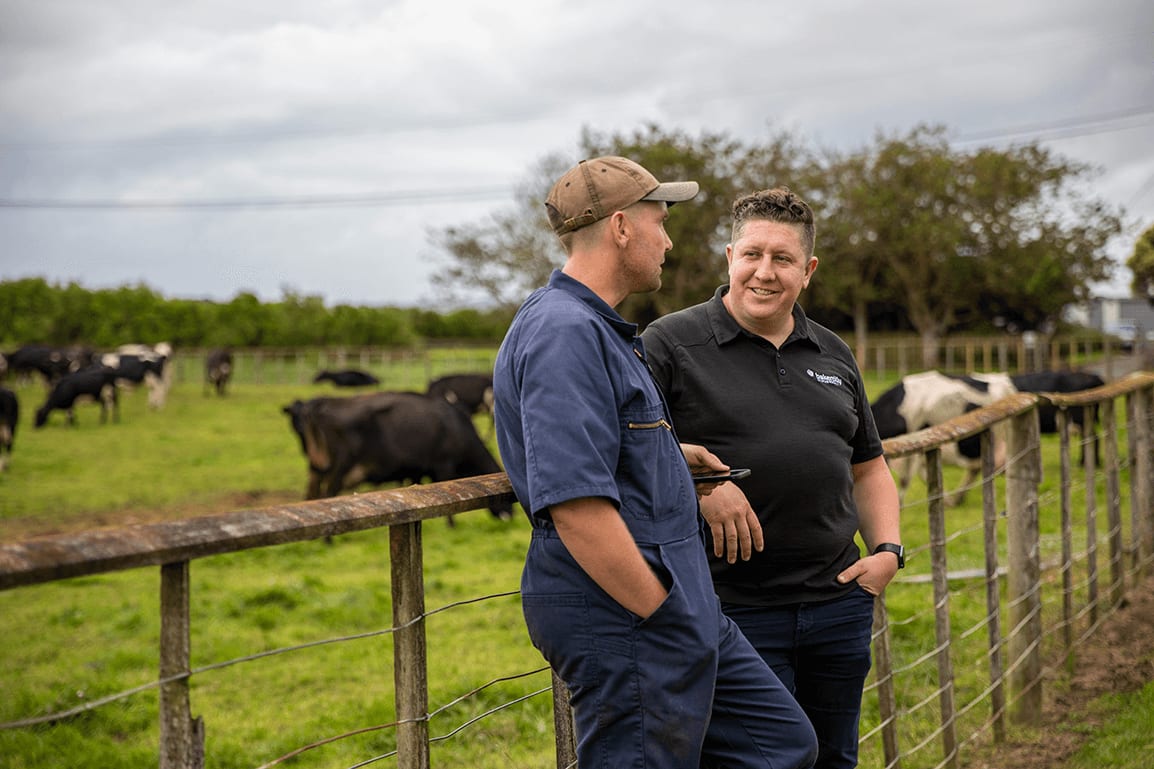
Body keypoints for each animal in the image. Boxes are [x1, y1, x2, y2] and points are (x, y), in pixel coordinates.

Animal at [281, 390, 512, 521]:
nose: (510, 514)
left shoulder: (416, 469)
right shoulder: (443, 464)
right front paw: (451, 524)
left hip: (319, 467)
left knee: (314, 492)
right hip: (340, 467)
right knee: (327, 494)